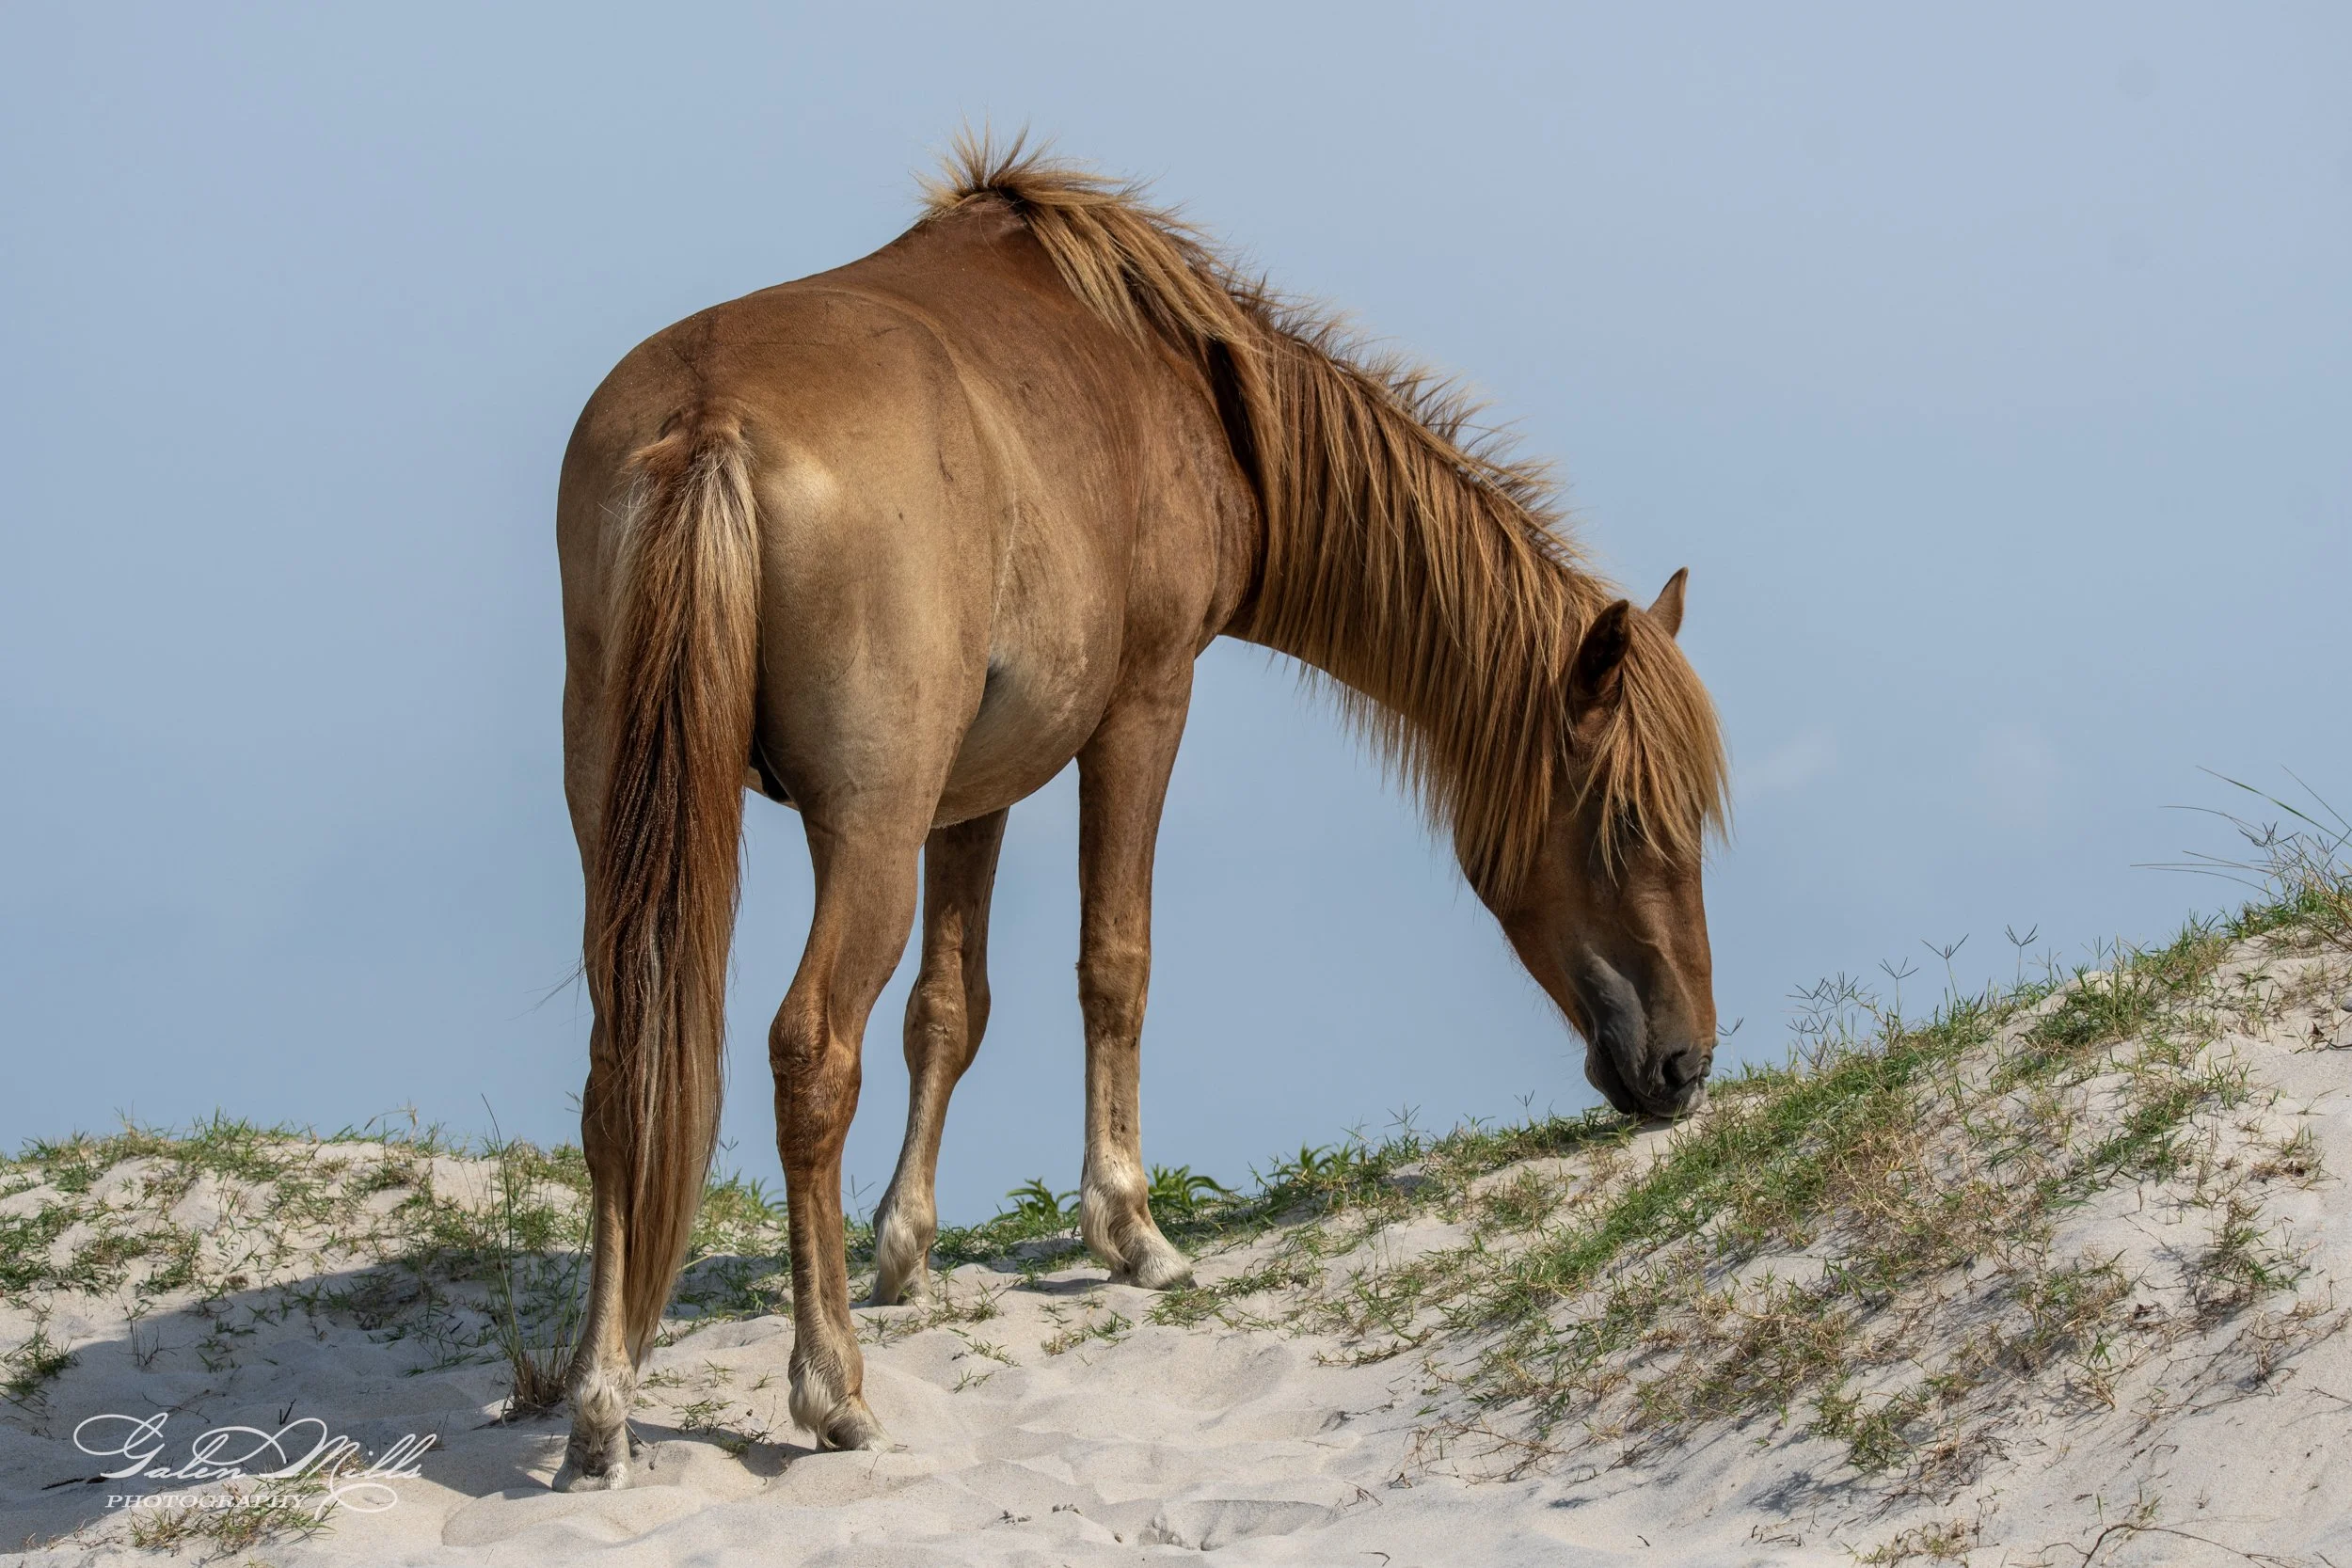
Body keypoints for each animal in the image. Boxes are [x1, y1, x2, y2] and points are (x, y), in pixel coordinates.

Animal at [552, 137, 1729, 1488]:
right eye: (1627, 826)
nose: (1685, 1063)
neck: (1188, 384)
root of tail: (708, 424)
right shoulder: (1144, 706)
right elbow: (1115, 962)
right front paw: (1130, 1227)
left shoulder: (973, 787)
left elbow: (948, 1008)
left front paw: (905, 1246)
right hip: (867, 831)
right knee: (810, 1054)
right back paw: (830, 1388)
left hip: (635, 828)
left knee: (620, 1070)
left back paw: (600, 1405)